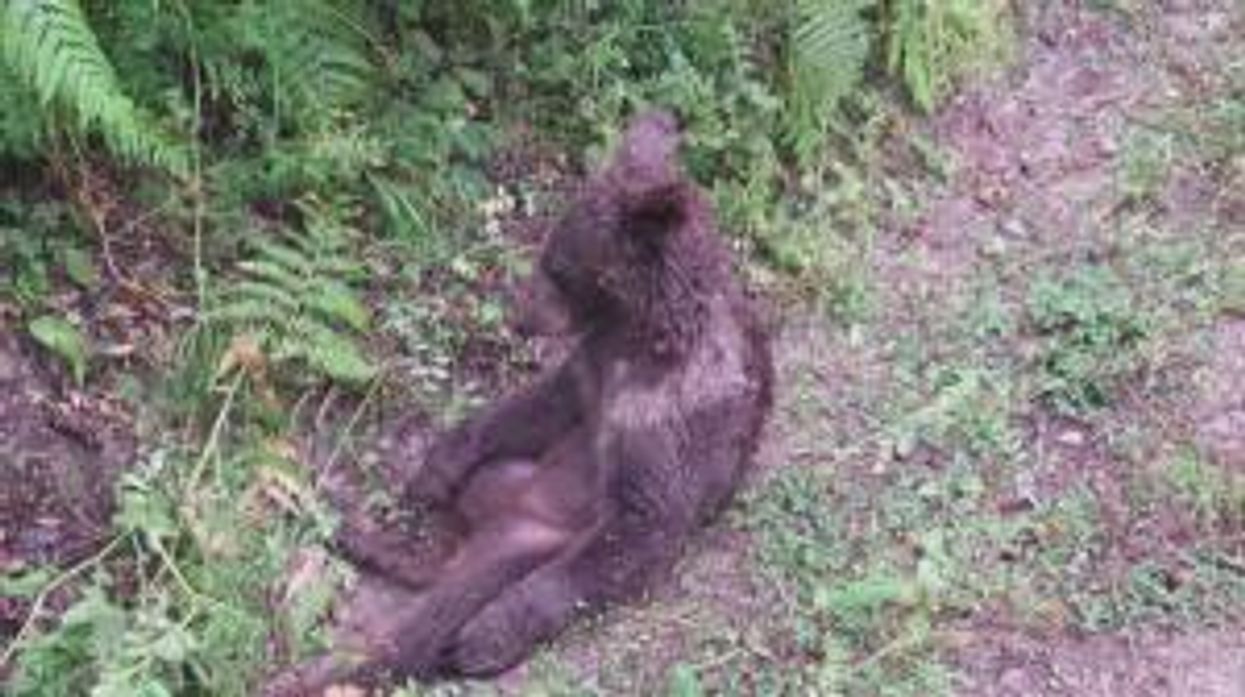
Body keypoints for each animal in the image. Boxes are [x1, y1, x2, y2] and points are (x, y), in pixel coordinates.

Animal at [266, 110, 773, 694]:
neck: (640, 336)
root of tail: (493, 526)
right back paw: (362, 534)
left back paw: (328, 662)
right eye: (550, 257)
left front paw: (487, 636)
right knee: (448, 540)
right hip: (502, 480)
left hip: (528, 539)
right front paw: (432, 469)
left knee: (445, 605)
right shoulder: (590, 368)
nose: (518, 316)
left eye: (559, 269)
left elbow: (641, 524)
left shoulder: (673, 418)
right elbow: (533, 407)